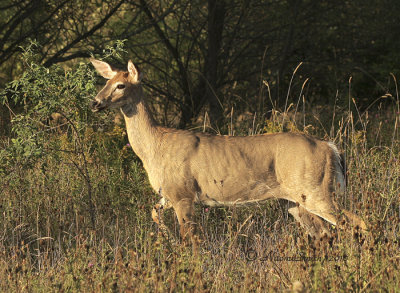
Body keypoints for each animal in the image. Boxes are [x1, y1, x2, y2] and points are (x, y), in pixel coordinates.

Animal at [90, 58, 366, 243]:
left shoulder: (183, 193)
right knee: (324, 233)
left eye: (121, 86)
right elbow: (154, 213)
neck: (155, 146)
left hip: (315, 190)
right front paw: (167, 237)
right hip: (294, 201)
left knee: (356, 222)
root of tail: (331, 148)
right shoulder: (168, 194)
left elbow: (191, 240)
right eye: (106, 81)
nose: (95, 102)